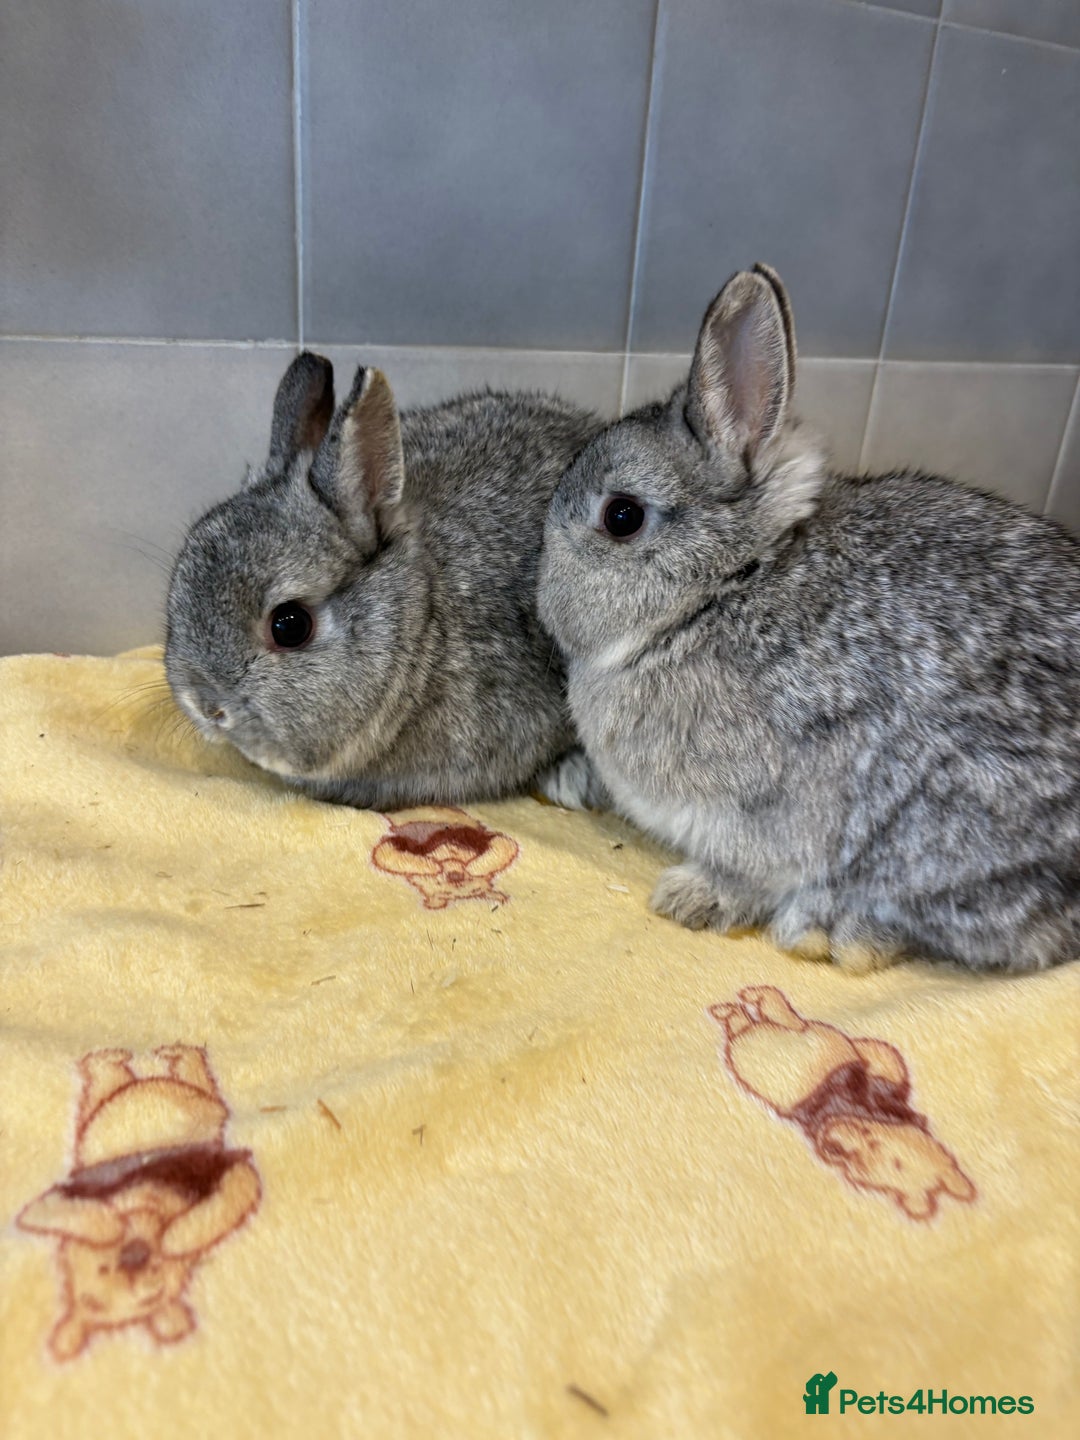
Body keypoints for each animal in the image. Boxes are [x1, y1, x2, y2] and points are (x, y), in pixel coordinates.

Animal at [538, 263, 1080, 973]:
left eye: (621, 516)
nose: (542, 598)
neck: (726, 590)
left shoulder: (771, 814)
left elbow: (754, 869)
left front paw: (694, 897)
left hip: (950, 825)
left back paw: (827, 929)